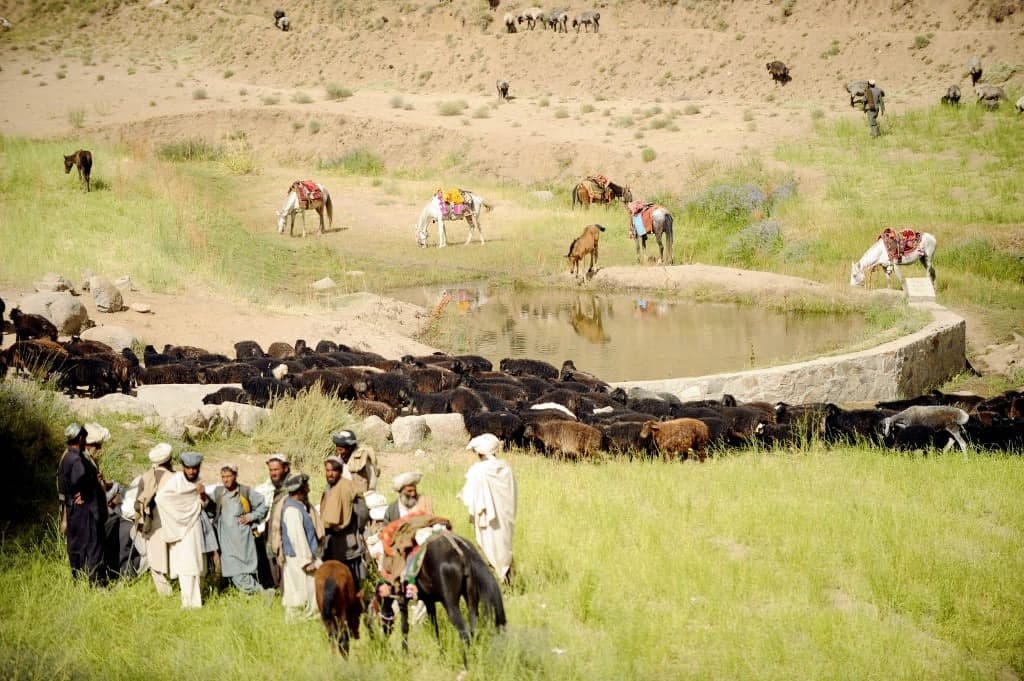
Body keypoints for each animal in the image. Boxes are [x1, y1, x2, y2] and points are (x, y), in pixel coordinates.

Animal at [401, 528, 509, 667]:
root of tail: (462, 551)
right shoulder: (429, 601)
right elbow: (434, 628)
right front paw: (441, 655)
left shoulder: (401, 598)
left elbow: (404, 627)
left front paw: (404, 655)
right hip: (471, 601)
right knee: (473, 628)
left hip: (451, 606)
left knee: (464, 635)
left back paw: (466, 664)